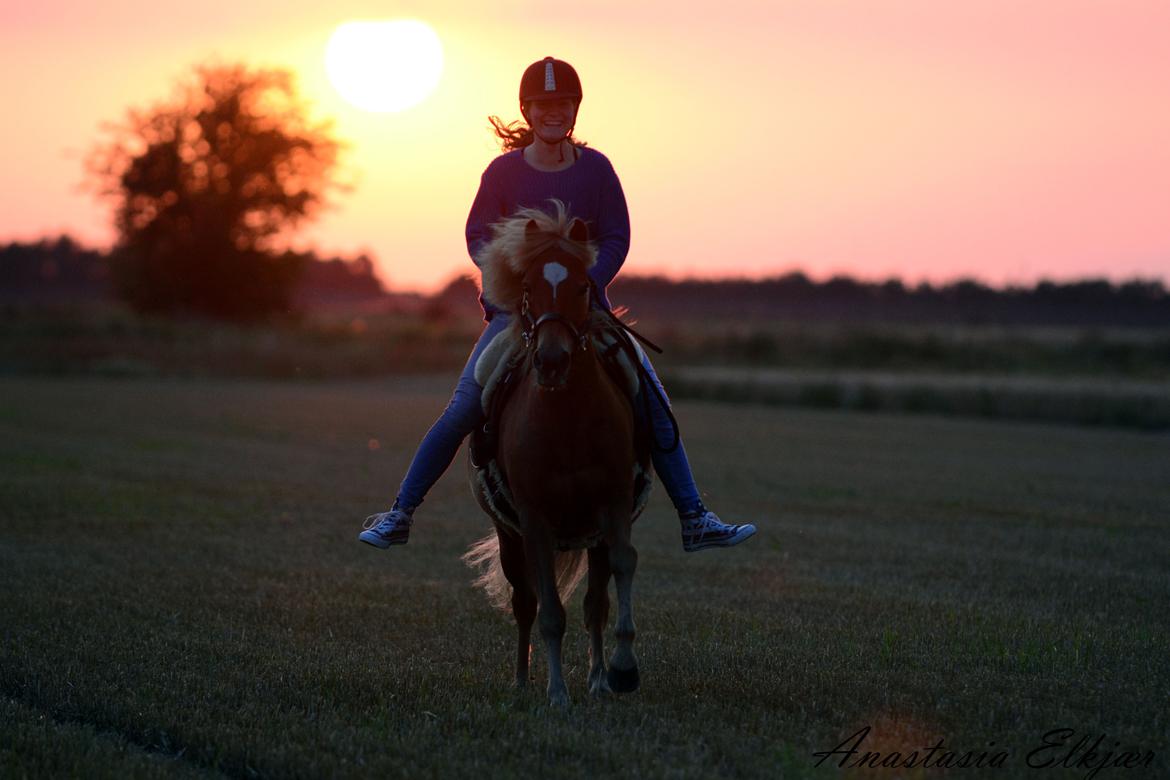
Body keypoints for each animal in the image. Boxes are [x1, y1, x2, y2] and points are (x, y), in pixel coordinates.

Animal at [465, 199, 645, 706]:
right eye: (527, 288)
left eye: (583, 286)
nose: (550, 361)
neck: (567, 419)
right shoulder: (535, 521)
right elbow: (548, 612)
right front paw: (557, 693)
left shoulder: (613, 506)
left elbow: (622, 568)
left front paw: (621, 670)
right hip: (509, 537)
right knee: (525, 603)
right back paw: (524, 680)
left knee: (594, 604)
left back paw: (600, 679)